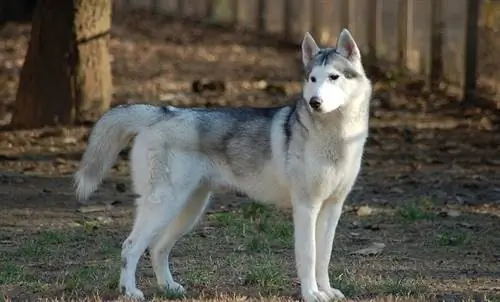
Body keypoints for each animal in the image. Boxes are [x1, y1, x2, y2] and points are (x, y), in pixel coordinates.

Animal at [74, 28, 372, 302]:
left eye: (333, 77)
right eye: (312, 79)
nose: (314, 102)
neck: (337, 137)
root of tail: (164, 113)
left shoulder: (333, 207)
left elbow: (323, 256)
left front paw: (327, 291)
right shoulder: (306, 207)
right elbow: (308, 256)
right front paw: (311, 294)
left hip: (189, 209)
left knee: (157, 248)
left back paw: (168, 287)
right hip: (164, 205)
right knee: (131, 246)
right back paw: (130, 291)